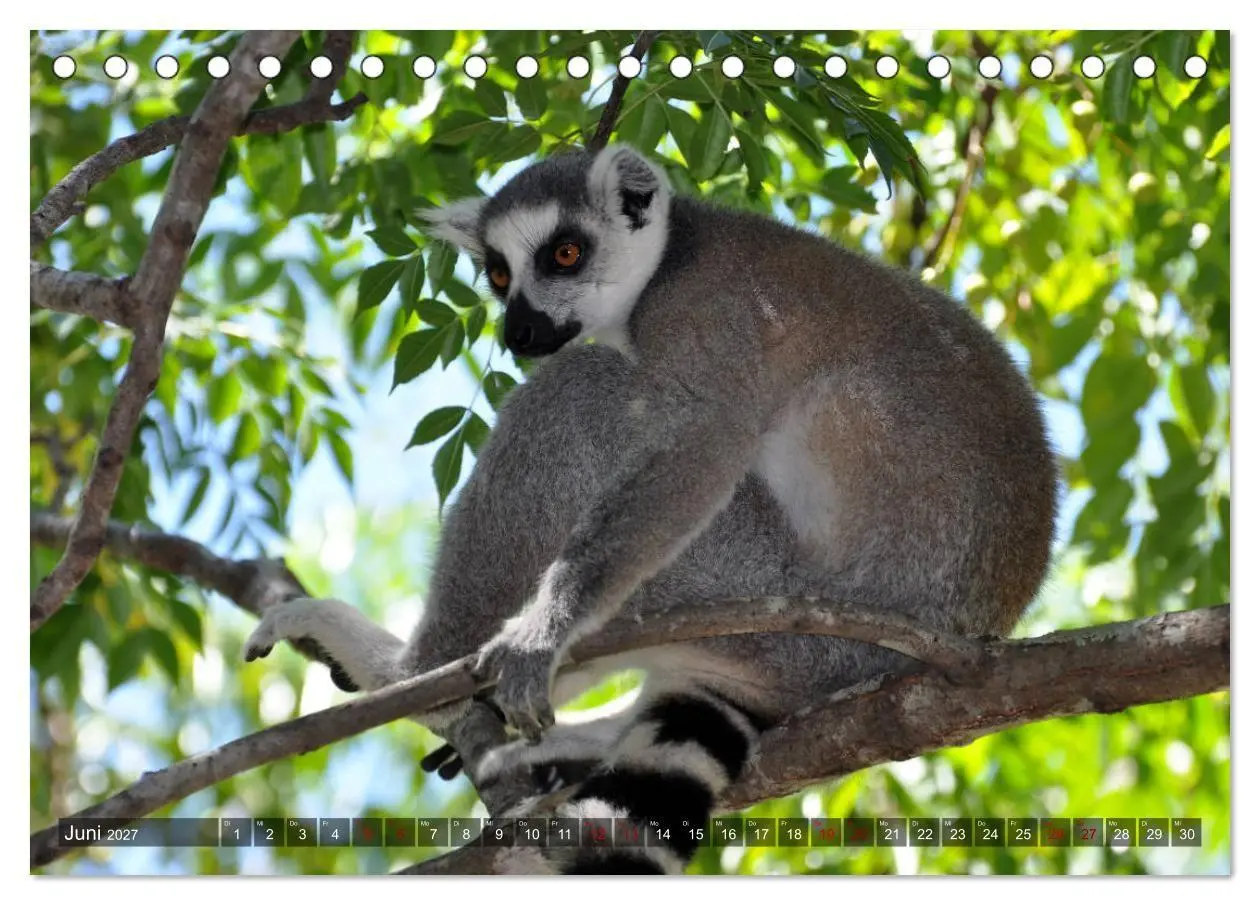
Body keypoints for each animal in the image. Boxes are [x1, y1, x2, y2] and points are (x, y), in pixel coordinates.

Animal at [244, 144, 1057, 873]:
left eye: (566, 253)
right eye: (499, 272)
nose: (519, 331)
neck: (670, 261)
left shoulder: (713, 321)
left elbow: (698, 448)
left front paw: (539, 636)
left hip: (765, 599)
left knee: (577, 393)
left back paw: (410, 671)